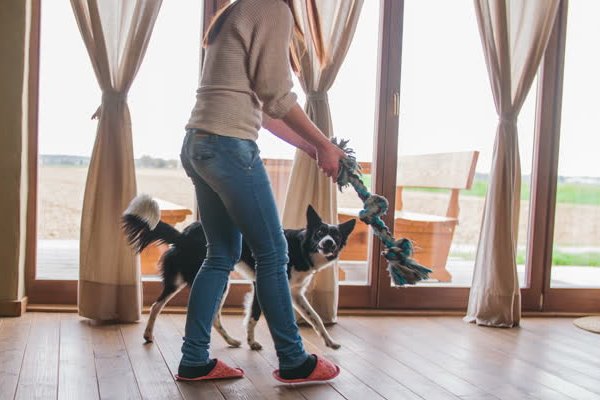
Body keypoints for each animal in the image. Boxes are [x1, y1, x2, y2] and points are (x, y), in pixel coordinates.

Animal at [123, 195, 356, 352]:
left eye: (336, 235)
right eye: (320, 233)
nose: (329, 243)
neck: (300, 248)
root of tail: (183, 235)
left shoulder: (296, 293)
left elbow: (315, 318)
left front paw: (330, 342)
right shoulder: (262, 283)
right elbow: (253, 316)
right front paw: (252, 342)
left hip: (183, 280)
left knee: (158, 305)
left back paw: (150, 335)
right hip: (217, 279)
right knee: (208, 315)